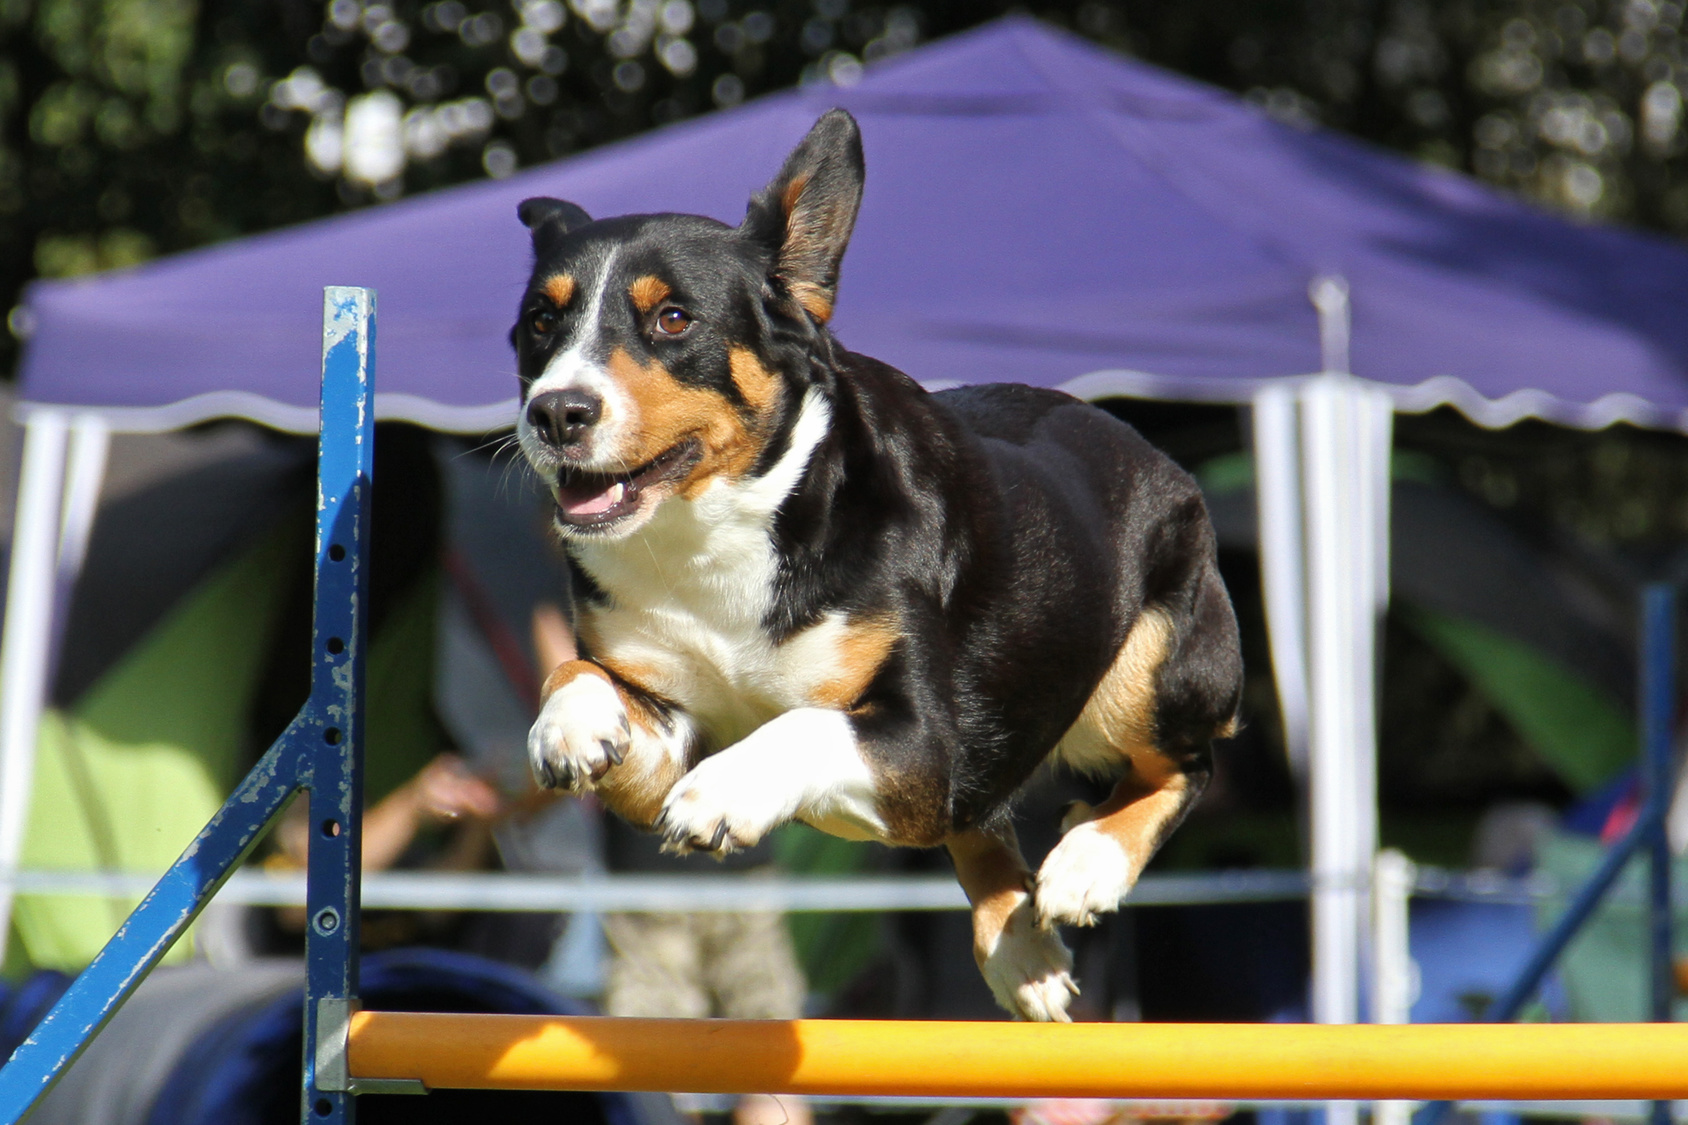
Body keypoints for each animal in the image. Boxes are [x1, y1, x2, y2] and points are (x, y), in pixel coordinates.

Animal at [513, 109, 1242, 1020]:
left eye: (674, 318)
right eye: (541, 323)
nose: (556, 412)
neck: (718, 542)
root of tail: (1150, 451)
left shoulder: (923, 737)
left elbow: (802, 723)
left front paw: (725, 791)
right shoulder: (669, 725)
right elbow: (578, 671)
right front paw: (572, 722)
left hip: (1148, 672)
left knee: (1184, 766)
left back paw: (1086, 864)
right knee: (980, 820)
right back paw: (1022, 951)